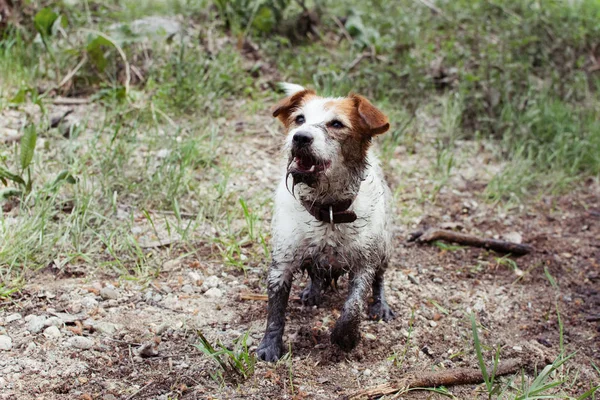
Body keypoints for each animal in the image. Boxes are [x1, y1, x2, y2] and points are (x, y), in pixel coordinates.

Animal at [256, 83, 394, 360]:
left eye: (336, 124)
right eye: (299, 119)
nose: (300, 137)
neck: (328, 210)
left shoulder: (364, 263)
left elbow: (353, 306)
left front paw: (345, 337)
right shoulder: (282, 262)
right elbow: (275, 312)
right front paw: (270, 346)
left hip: (384, 248)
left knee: (380, 279)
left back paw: (380, 305)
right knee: (316, 272)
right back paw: (313, 291)